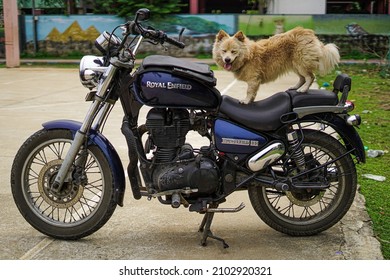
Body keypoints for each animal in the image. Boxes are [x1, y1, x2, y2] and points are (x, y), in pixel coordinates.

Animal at [212, 27, 340, 104]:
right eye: (224, 51)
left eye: (233, 51)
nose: (227, 60)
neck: (248, 56)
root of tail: (309, 33)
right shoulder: (255, 81)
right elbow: (253, 93)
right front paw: (251, 101)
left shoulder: (253, 79)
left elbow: (249, 91)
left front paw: (246, 101)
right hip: (295, 65)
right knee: (302, 78)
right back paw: (295, 87)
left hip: (301, 64)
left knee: (310, 77)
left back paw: (303, 90)